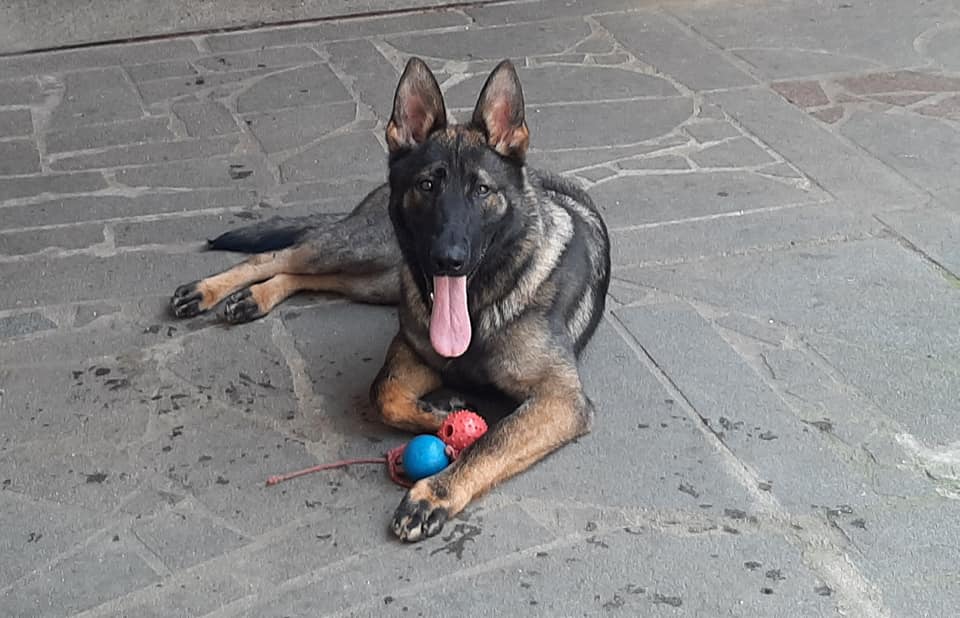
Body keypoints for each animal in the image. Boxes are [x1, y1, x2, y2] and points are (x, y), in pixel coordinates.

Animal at [170, 57, 611, 542]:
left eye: (482, 190)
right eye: (428, 185)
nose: (448, 259)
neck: (479, 305)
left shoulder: (559, 400)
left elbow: (492, 441)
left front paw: (435, 491)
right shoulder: (411, 348)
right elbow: (384, 394)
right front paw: (444, 417)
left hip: (374, 279)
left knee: (304, 274)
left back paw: (254, 298)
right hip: (364, 252)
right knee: (279, 254)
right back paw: (210, 290)